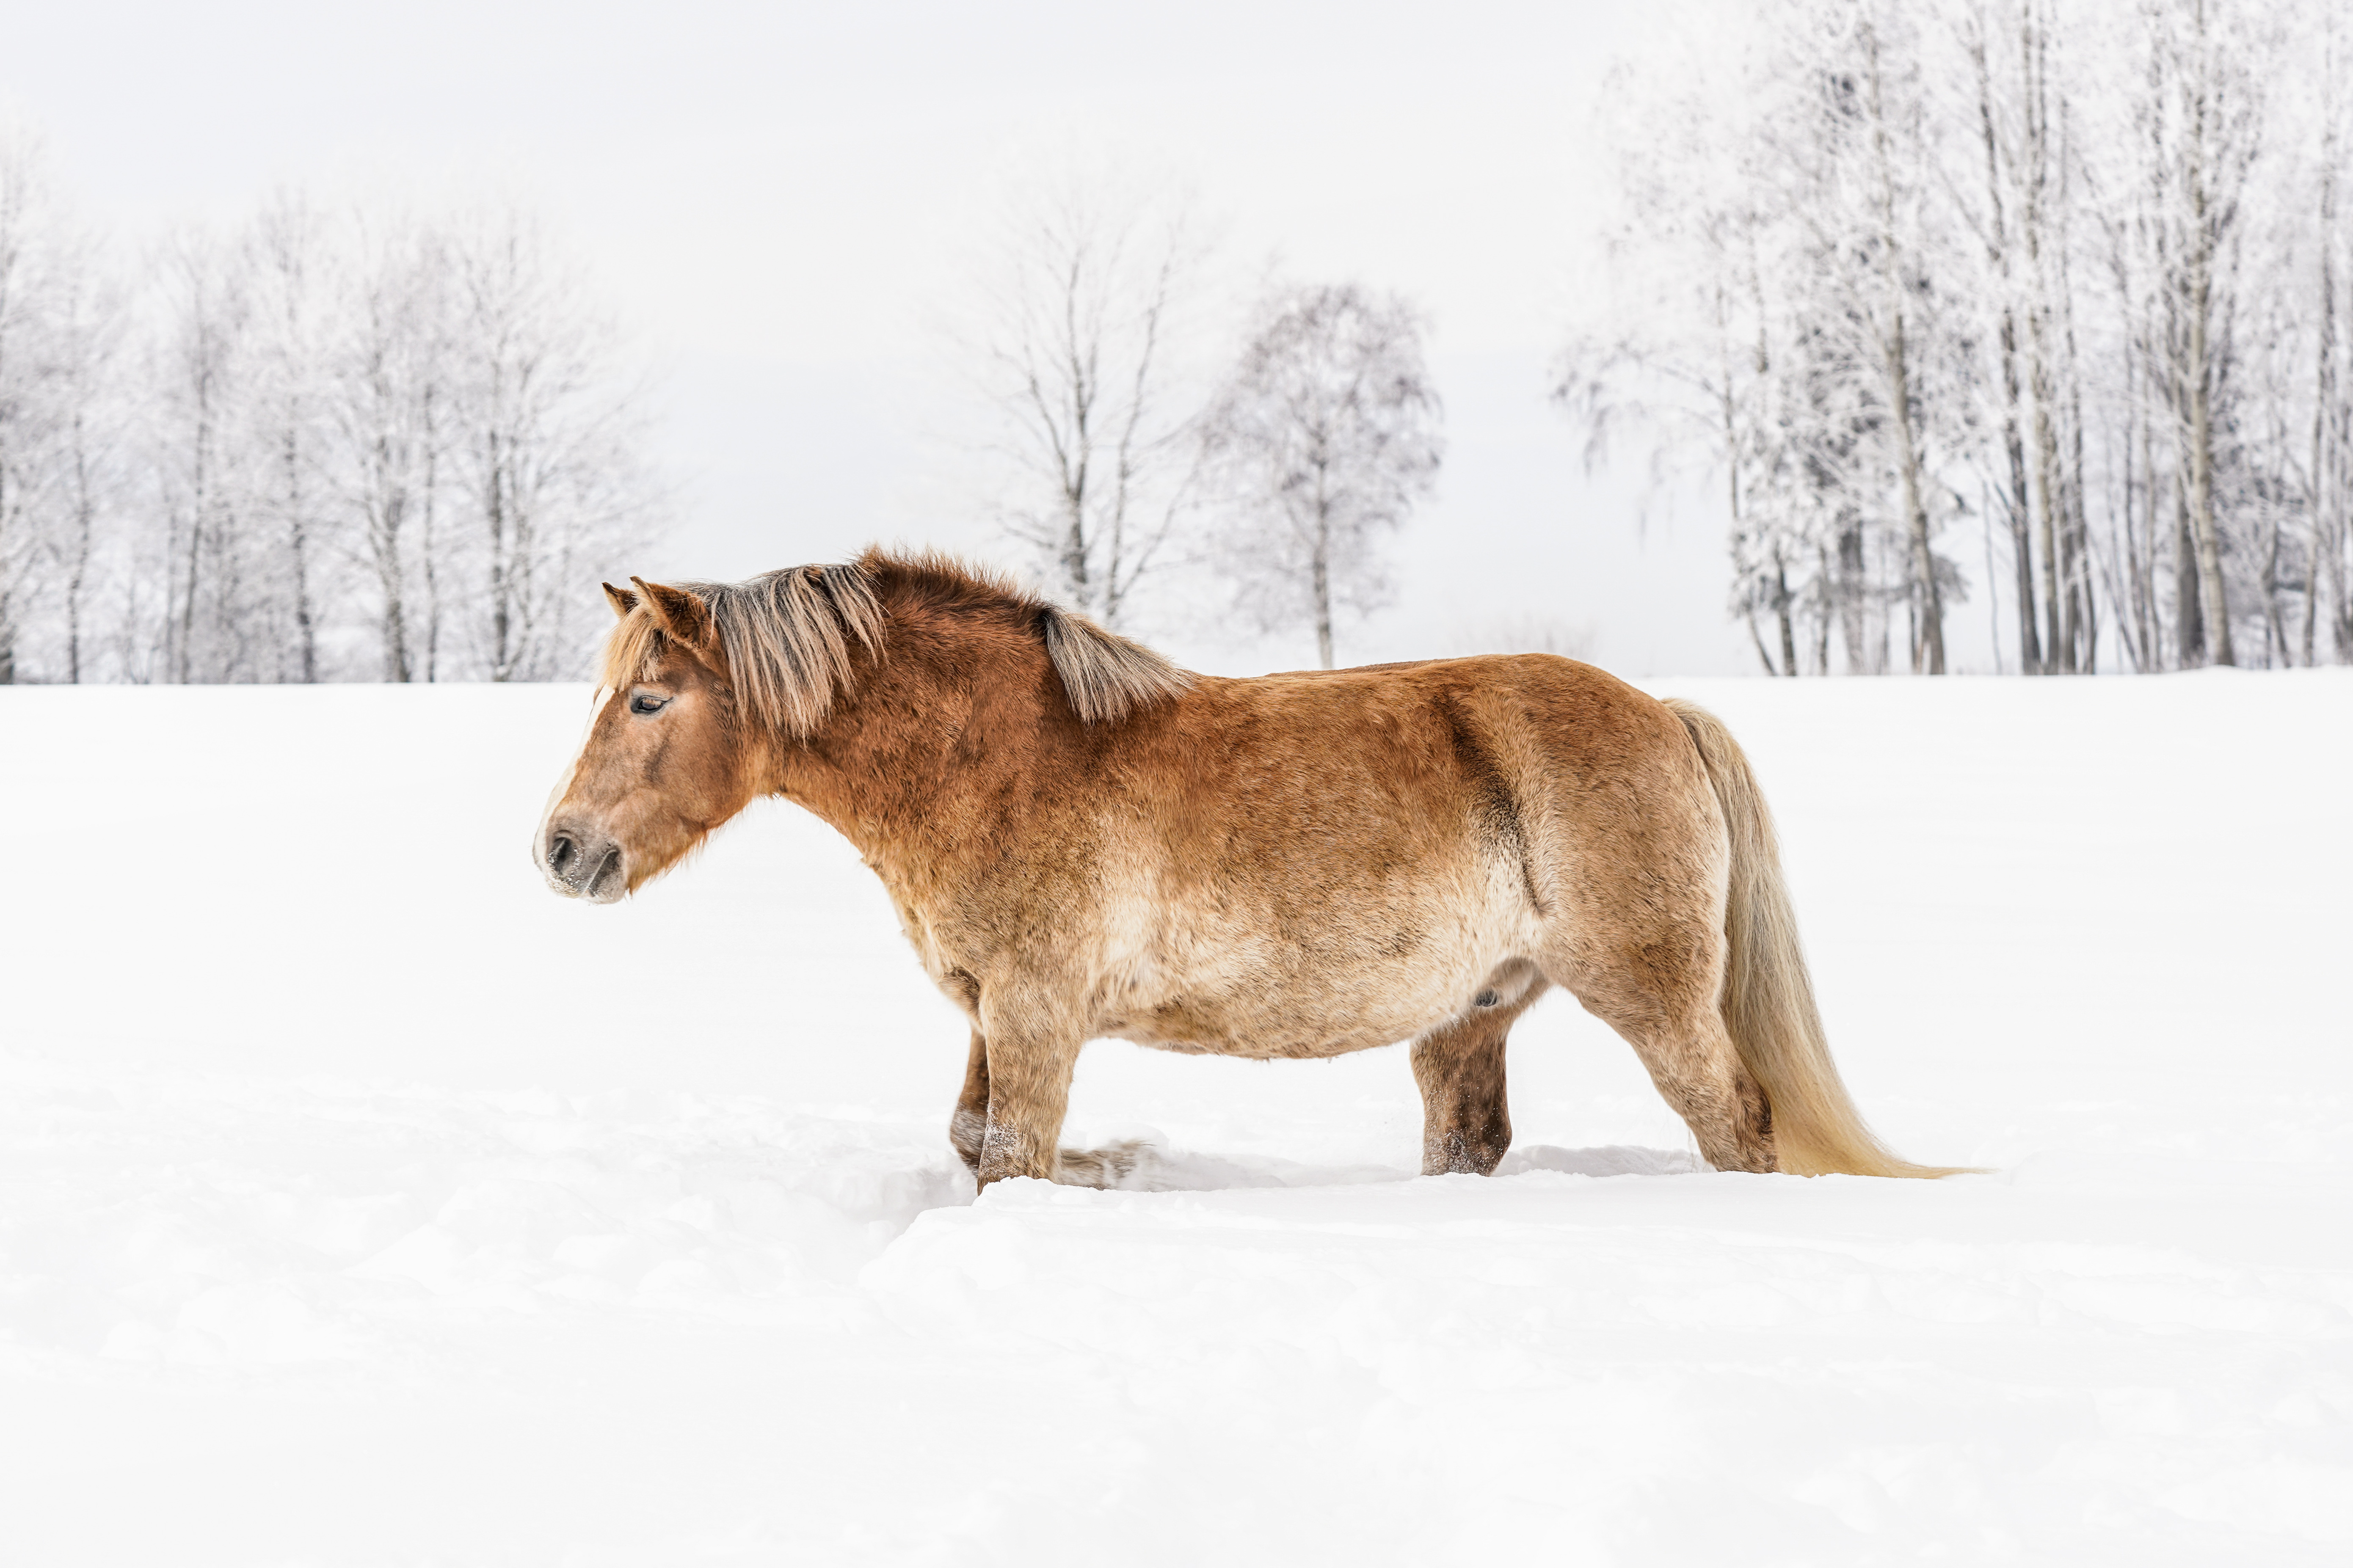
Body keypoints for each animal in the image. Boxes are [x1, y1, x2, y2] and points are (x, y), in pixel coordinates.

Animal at [541, 553, 1958, 1186]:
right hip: (1471, 1015)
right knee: (1471, 1136)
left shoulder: (1037, 1013)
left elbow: (1011, 1150)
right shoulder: (991, 1011)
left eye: (651, 698)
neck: (997, 754)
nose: (560, 848)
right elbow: (970, 1138)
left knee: (1734, 1120)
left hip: (1652, 996)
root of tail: (1663, 711)